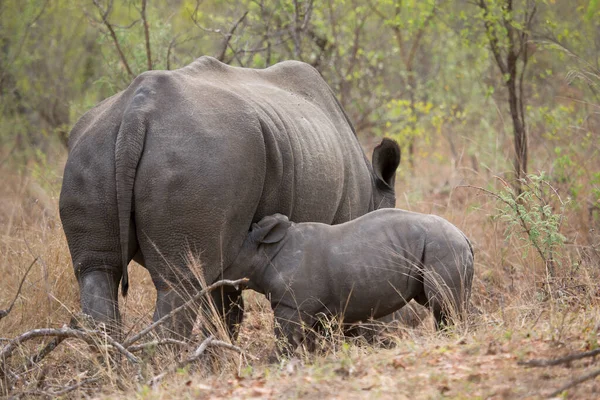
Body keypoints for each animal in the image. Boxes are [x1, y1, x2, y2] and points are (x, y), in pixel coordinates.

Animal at [225, 208, 474, 352]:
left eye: (227, 264)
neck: (265, 251)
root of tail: (464, 236)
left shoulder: (291, 303)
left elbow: (285, 337)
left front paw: (280, 363)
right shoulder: (312, 307)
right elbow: (311, 338)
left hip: (443, 246)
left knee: (442, 303)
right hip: (440, 247)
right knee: (440, 302)